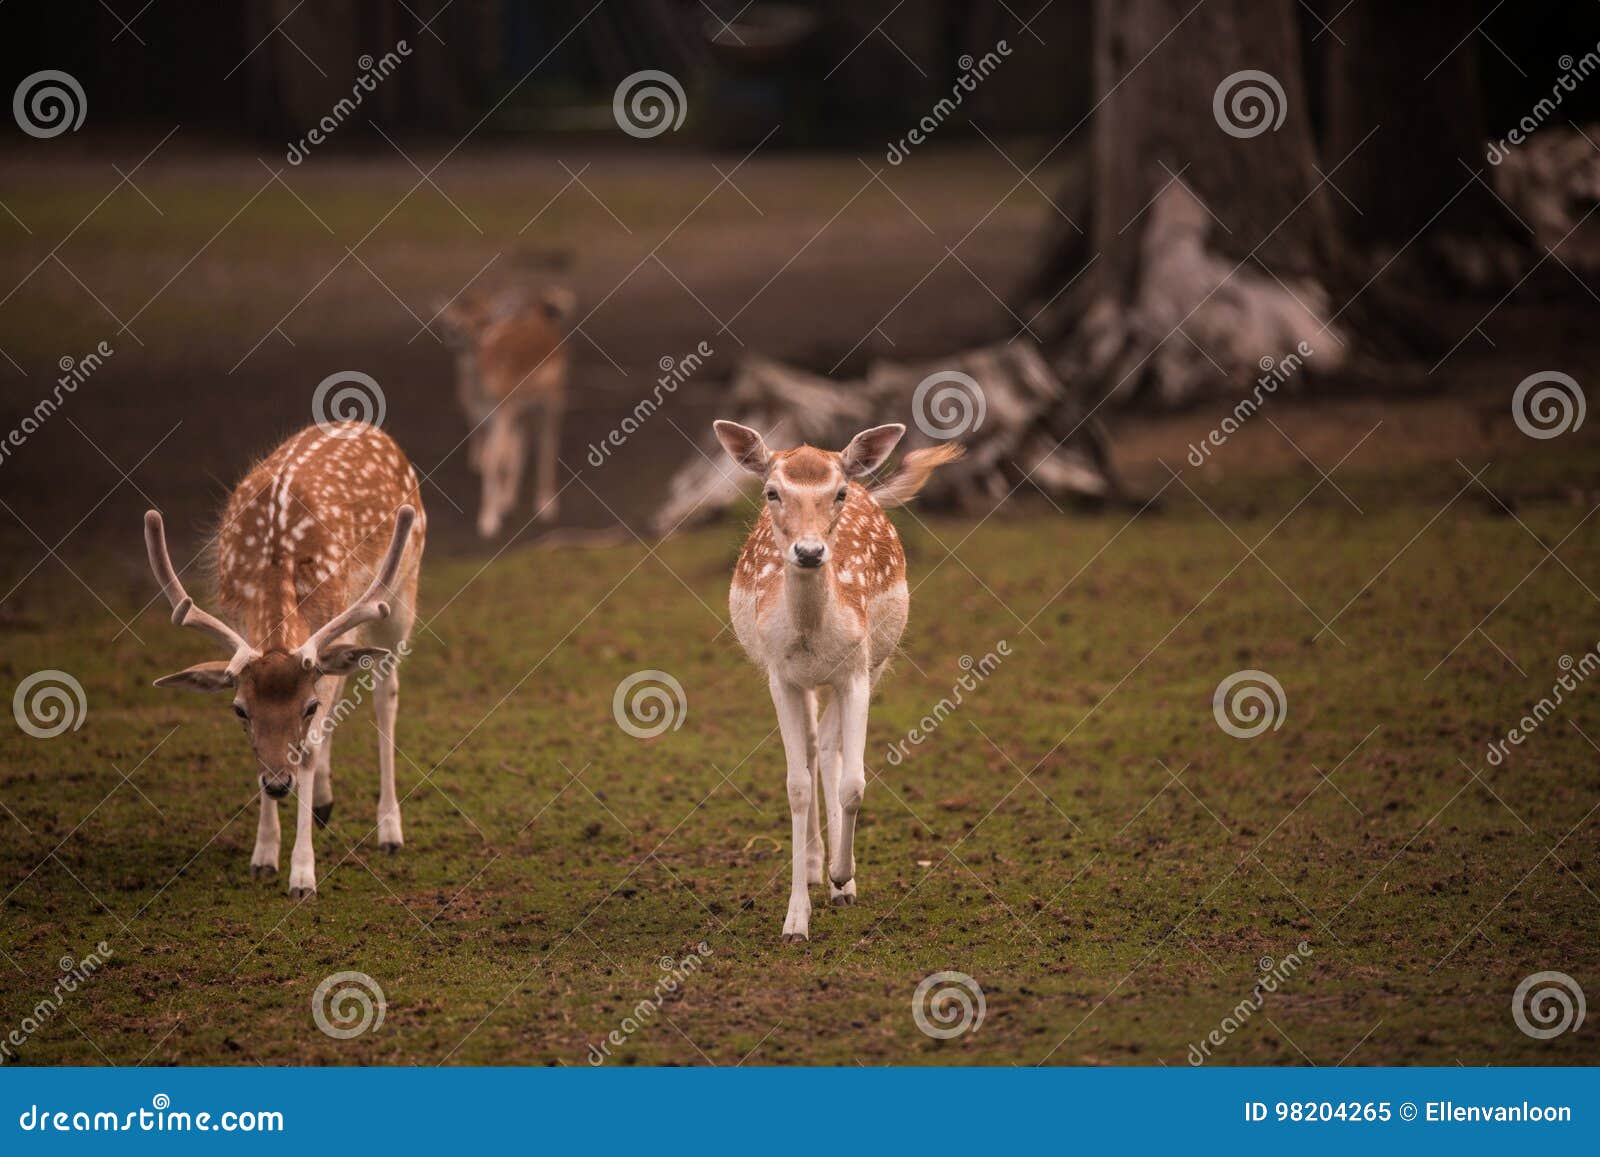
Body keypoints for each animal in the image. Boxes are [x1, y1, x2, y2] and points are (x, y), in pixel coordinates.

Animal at [143, 421, 425, 899]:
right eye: (240, 709)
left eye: (306, 706)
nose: (278, 784)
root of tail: (367, 427)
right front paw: (263, 856)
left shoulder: (331, 627)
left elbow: (309, 745)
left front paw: (303, 876)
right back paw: (324, 804)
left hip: (400, 593)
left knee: (386, 693)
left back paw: (389, 830)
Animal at [436, 285, 576, 538]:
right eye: (450, 323)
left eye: (483, 321)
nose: (458, 338)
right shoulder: (483, 418)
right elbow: (489, 459)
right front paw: (494, 512)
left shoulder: (502, 412)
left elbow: (496, 459)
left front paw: (489, 522)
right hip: (522, 412)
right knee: (523, 445)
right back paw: (510, 501)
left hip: (552, 400)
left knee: (547, 443)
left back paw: (546, 507)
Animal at [713, 419, 963, 941]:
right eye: (772, 491)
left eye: (839, 493)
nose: (809, 551)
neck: (812, 633)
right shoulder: (780, 674)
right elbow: (795, 785)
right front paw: (795, 921)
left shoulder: (856, 672)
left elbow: (854, 782)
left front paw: (843, 875)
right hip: (807, 680)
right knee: (812, 747)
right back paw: (812, 865)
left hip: (872, 662)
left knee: (827, 746)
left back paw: (835, 880)